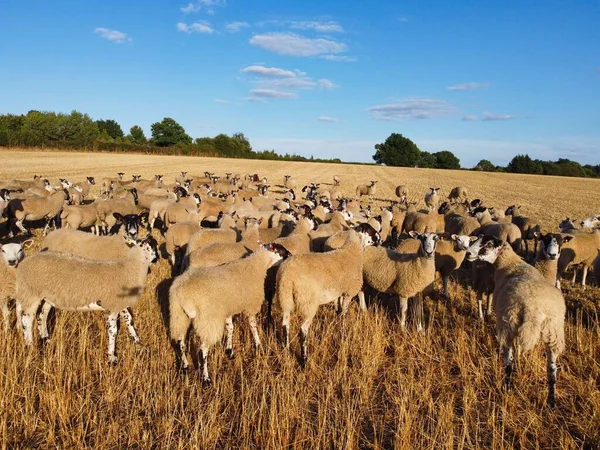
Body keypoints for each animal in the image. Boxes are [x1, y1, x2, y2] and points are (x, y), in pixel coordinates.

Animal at [16, 237, 158, 364]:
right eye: (154, 245)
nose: (157, 259)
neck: (129, 268)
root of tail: (23, 263)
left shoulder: (120, 303)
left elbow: (129, 320)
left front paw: (138, 343)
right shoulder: (111, 306)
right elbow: (113, 330)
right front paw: (112, 358)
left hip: (48, 297)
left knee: (42, 316)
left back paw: (46, 340)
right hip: (31, 293)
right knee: (27, 320)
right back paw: (30, 347)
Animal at [169, 243, 290, 384]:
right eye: (281, 250)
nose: (290, 255)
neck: (256, 266)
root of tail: (182, 295)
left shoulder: (227, 309)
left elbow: (230, 328)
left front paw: (229, 350)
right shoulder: (251, 306)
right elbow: (253, 326)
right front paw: (259, 346)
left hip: (178, 316)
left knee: (180, 342)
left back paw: (185, 367)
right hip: (208, 319)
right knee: (202, 351)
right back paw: (206, 379)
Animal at [274, 225, 380, 366]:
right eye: (370, 230)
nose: (380, 240)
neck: (352, 251)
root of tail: (287, 275)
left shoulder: (339, 292)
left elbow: (339, 310)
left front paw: (337, 323)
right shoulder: (348, 292)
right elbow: (344, 314)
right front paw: (343, 334)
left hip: (285, 298)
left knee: (285, 325)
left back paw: (286, 351)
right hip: (308, 302)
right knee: (303, 329)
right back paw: (304, 360)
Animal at [476, 237, 564, 410]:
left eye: (488, 244)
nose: (469, 254)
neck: (510, 264)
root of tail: (534, 307)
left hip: (508, 326)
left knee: (508, 363)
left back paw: (506, 389)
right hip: (553, 335)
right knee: (552, 370)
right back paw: (551, 402)